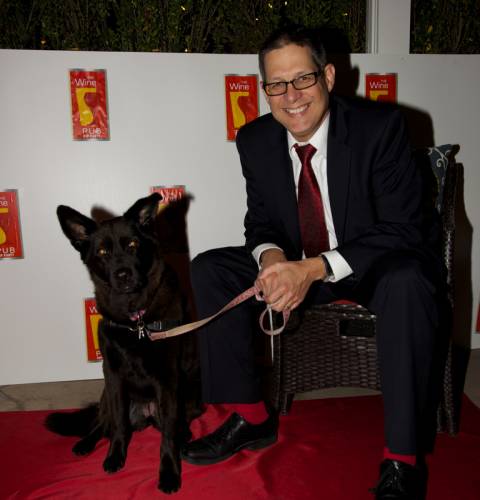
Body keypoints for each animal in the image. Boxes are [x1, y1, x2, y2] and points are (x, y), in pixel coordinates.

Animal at [44, 193, 201, 494]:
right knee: (102, 422)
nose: (123, 274)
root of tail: (146, 415)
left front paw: (169, 472)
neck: (135, 320)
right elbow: (117, 425)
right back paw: (85, 443)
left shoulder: (168, 378)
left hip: (190, 394)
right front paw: (115, 456)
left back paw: (184, 433)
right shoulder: (113, 375)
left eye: (132, 245)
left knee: (176, 422)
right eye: (103, 253)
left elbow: (167, 437)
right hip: (107, 394)